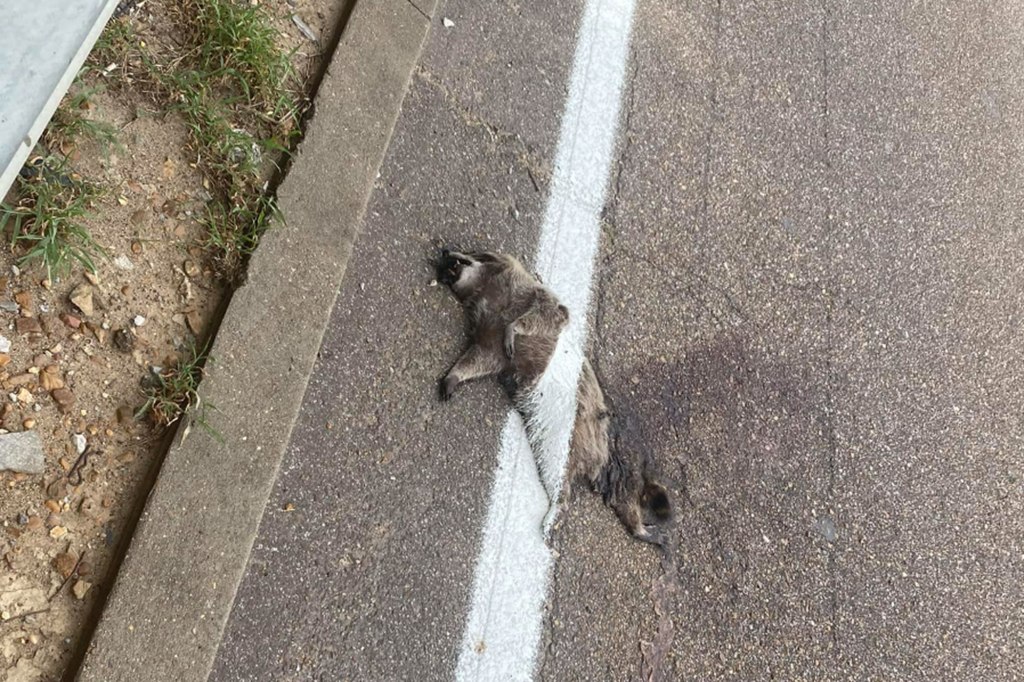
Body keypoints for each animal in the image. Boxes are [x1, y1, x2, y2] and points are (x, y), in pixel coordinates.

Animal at [434, 246, 667, 544]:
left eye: (460, 256)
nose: (444, 256)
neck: (484, 288)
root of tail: (598, 455)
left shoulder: (537, 299)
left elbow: (548, 313)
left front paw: (515, 327)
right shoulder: (489, 338)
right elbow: (480, 358)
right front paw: (455, 374)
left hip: (571, 432)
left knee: (563, 477)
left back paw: (559, 508)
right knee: (558, 474)